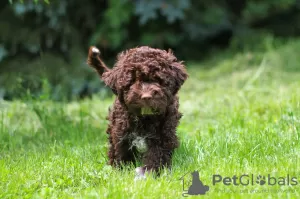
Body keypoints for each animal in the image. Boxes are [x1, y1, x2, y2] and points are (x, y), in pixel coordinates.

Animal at [86, 45, 189, 178]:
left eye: (158, 80)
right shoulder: (122, 132)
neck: (145, 117)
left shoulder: (163, 136)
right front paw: (122, 171)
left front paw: (149, 172)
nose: (146, 96)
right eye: (133, 80)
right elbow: (122, 152)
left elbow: (156, 154)